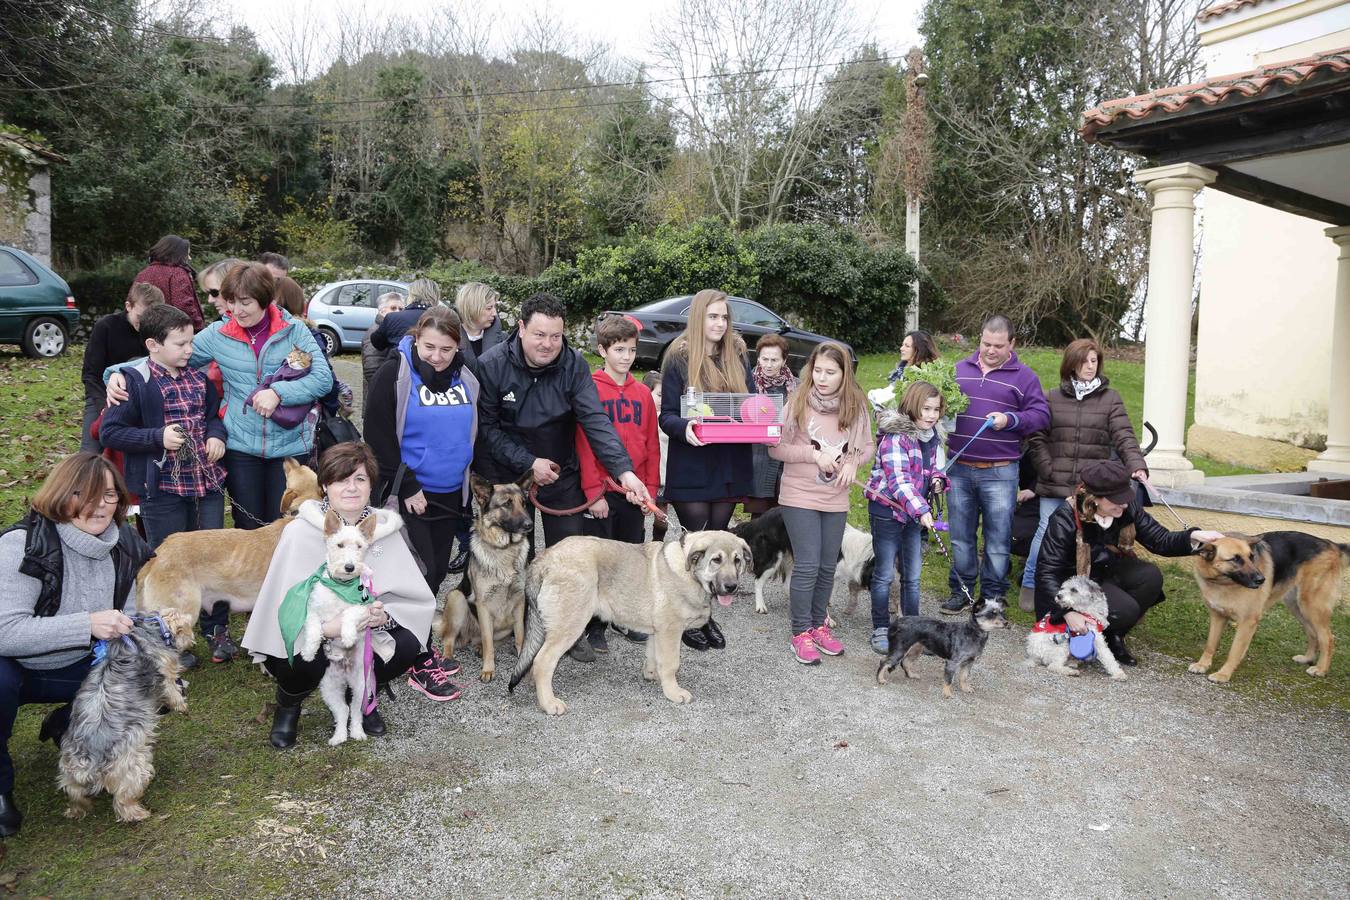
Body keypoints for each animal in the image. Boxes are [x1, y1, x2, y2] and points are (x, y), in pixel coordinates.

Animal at [59, 612, 195, 825]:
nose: (191, 643)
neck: (154, 626)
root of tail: (87, 758)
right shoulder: (165, 672)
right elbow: (172, 689)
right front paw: (181, 705)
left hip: (68, 769)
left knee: (74, 792)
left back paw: (77, 810)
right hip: (131, 764)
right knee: (124, 795)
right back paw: (136, 813)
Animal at [510, 531, 756, 712]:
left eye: (737, 561)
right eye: (716, 560)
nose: (732, 587)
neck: (689, 573)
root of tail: (545, 558)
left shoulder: (658, 631)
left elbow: (653, 656)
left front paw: (653, 676)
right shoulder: (670, 630)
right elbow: (671, 663)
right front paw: (673, 692)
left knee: (534, 658)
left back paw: (536, 688)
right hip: (570, 625)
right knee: (543, 661)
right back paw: (549, 703)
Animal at [880, 601, 1009, 701]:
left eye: (1001, 613)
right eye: (991, 614)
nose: (1006, 622)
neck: (972, 632)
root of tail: (899, 621)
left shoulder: (969, 662)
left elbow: (964, 677)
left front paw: (965, 688)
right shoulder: (952, 663)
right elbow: (948, 680)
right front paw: (947, 694)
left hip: (915, 649)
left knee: (906, 662)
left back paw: (911, 675)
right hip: (899, 649)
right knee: (884, 662)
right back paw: (880, 679)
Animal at [1188, 534, 1344, 682]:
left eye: (1251, 557)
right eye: (1235, 559)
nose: (1261, 580)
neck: (1223, 582)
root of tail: (1331, 544)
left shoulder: (1248, 622)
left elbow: (1234, 651)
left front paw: (1223, 674)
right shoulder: (1217, 616)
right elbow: (1210, 644)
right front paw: (1203, 664)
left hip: (1311, 606)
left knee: (1328, 638)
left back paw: (1321, 669)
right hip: (1297, 606)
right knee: (1312, 633)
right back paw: (1308, 658)